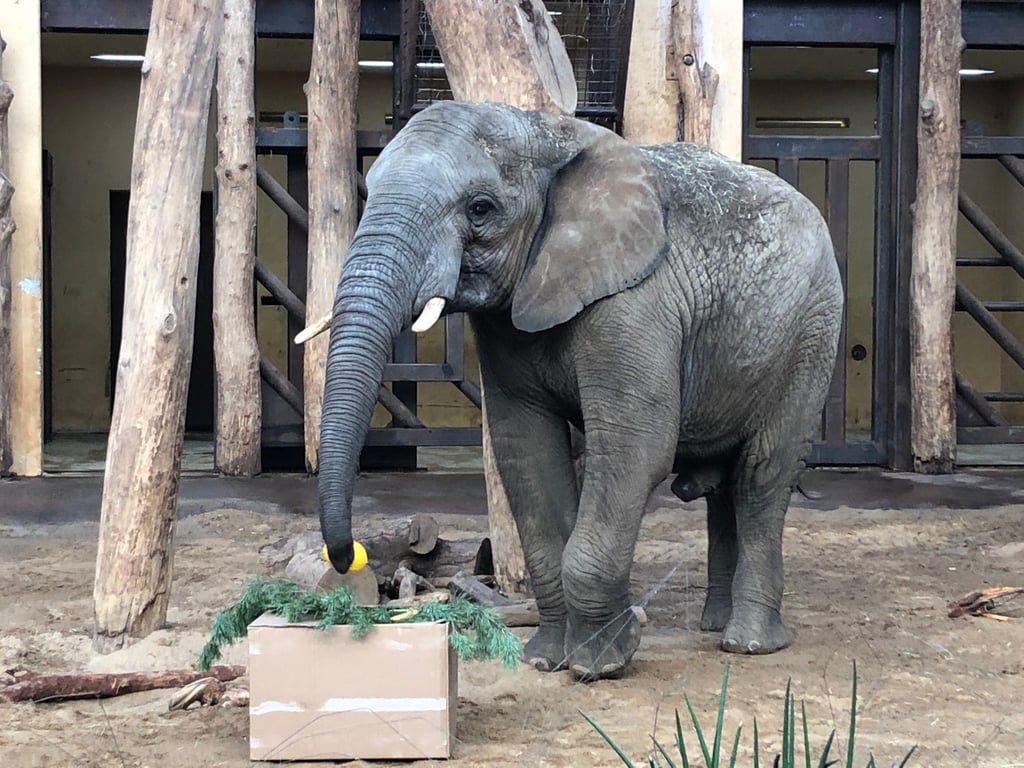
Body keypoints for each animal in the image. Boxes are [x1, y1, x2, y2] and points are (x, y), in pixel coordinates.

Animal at [308, 101, 843, 681]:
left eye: (480, 209)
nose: (347, 558)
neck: (548, 134)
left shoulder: (635, 302)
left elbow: (634, 450)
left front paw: (599, 664)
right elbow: (526, 451)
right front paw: (546, 659)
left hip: (812, 331)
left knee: (761, 477)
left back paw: (747, 643)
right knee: (724, 490)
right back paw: (713, 627)